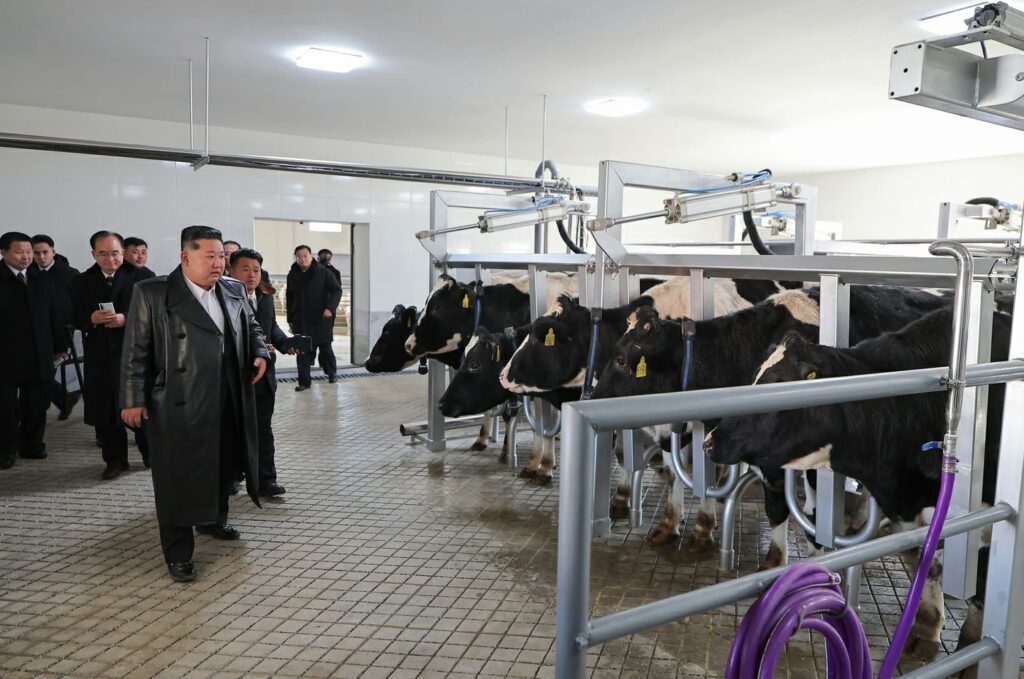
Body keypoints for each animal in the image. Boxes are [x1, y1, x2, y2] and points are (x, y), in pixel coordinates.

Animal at [705, 306, 1009, 665]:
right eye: (754, 377)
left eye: (778, 385)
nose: (710, 441)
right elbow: (931, 559)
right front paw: (926, 626)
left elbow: (981, 580)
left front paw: (970, 644)